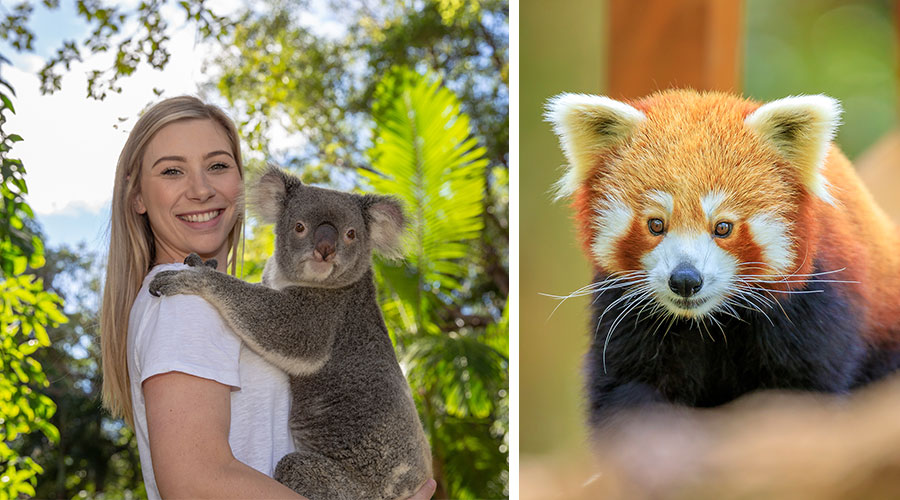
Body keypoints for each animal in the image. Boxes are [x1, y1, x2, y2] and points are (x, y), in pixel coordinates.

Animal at [544, 90, 896, 426]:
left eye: (723, 227)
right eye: (656, 224)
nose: (685, 280)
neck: (707, 323)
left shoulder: (814, 308)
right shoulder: (627, 318)